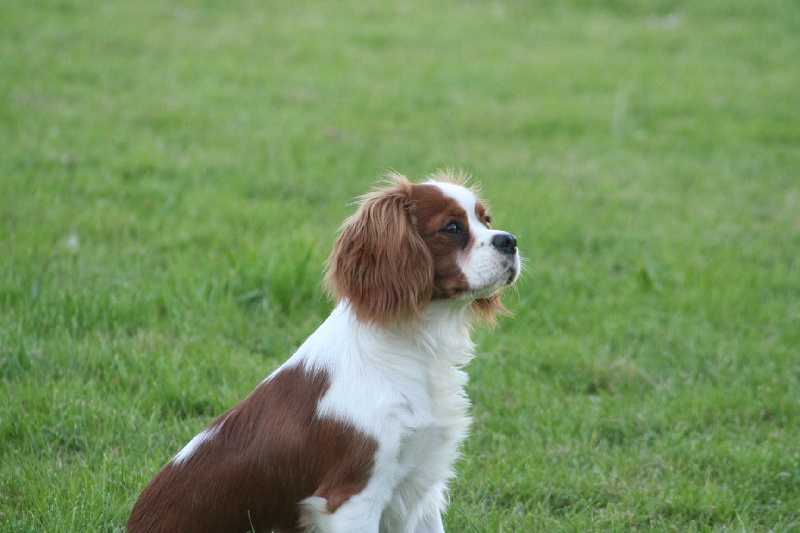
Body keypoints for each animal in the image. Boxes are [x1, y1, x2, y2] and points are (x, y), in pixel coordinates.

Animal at [126, 171, 520, 532]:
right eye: (452, 228)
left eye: (486, 220)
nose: (510, 240)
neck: (415, 344)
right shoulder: (352, 498)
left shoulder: (422, 490)